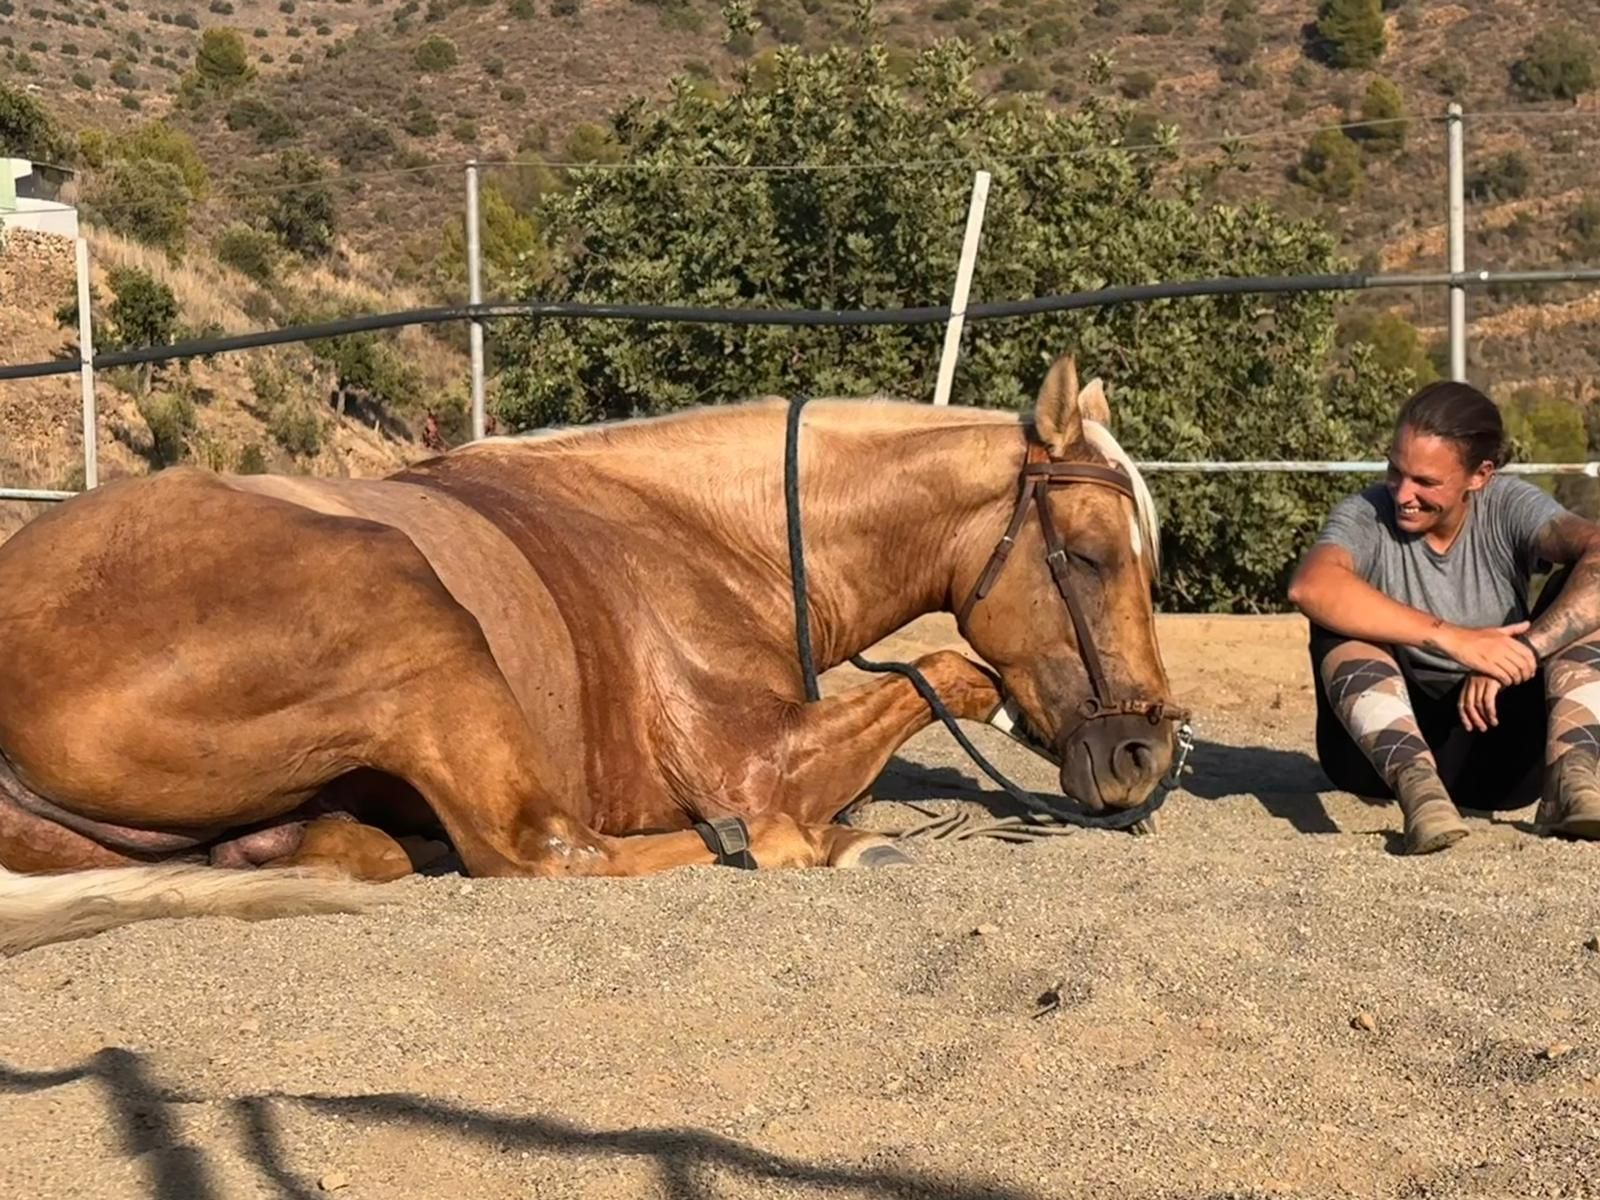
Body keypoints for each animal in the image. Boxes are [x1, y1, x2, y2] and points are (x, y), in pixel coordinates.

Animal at [0, 351, 1182, 954]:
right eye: (1085, 557)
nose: (1144, 760)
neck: (708, 538)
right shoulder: (748, 759)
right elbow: (955, 672)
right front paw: (833, 834)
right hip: (408, 604)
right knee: (544, 855)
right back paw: (793, 847)